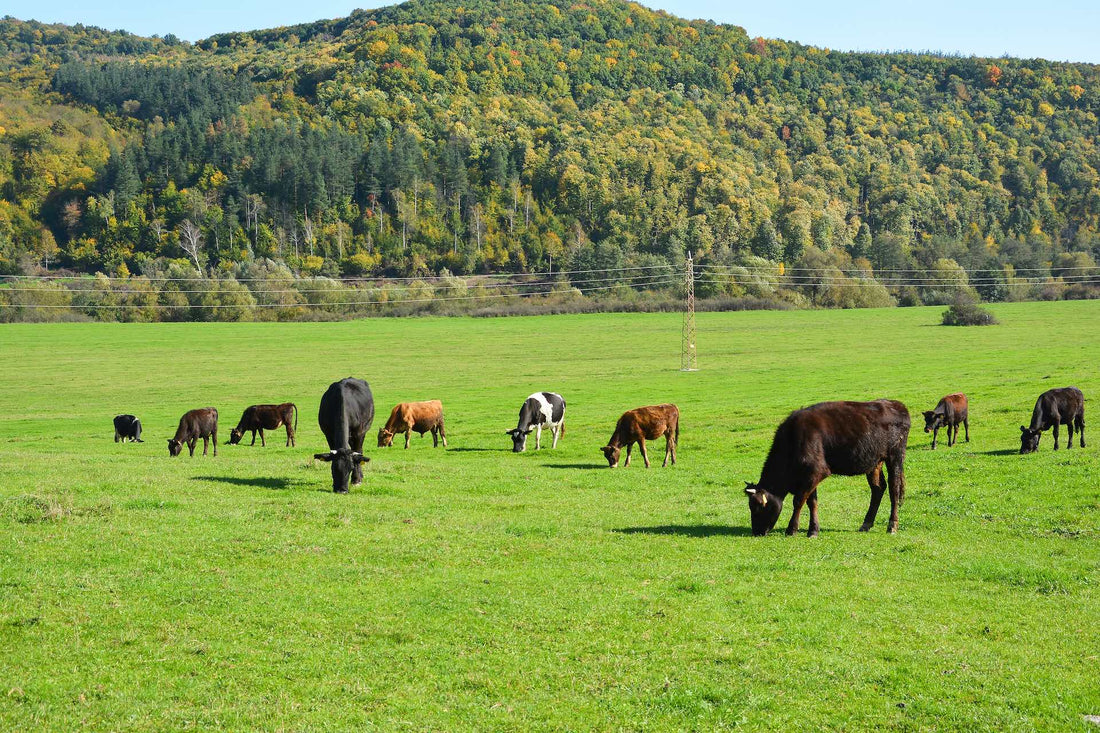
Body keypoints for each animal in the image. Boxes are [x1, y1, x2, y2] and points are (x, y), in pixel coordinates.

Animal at [743, 400, 915, 537]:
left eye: (758, 508)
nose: (757, 532)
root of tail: (897, 404)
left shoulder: (816, 471)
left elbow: (798, 500)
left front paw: (792, 529)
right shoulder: (810, 476)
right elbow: (812, 502)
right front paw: (813, 530)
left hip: (895, 456)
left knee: (894, 489)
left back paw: (892, 526)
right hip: (874, 462)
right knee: (878, 489)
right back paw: (866, 524)